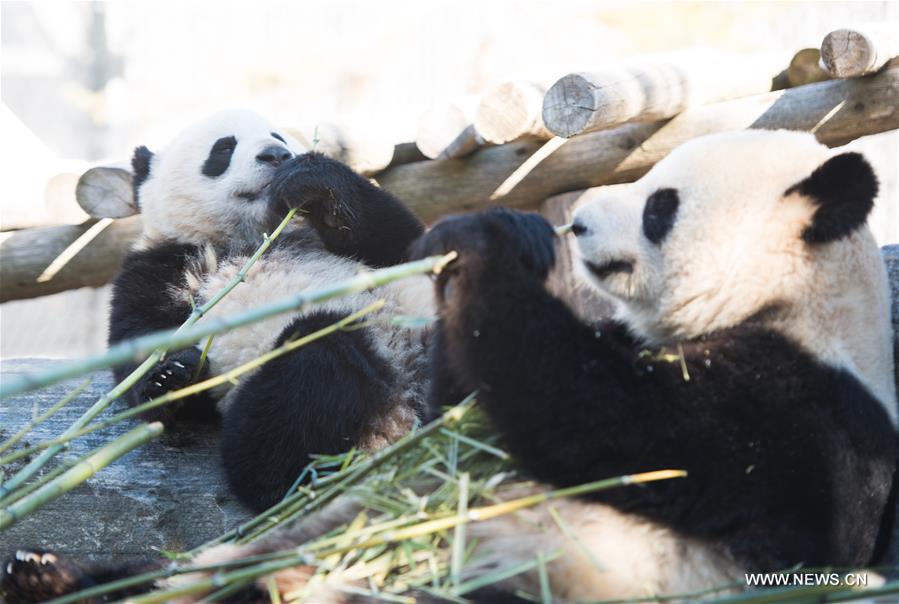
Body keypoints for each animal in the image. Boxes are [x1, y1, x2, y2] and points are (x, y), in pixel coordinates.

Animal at [105, 110, 435, 512]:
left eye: (279, 136)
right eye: (224, 148)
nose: (276, 155)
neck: (250, 239)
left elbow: (404, 243)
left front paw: (312, 182)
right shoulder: (162, 265)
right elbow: (137, 346)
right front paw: (170, 378)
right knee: (301, 382)